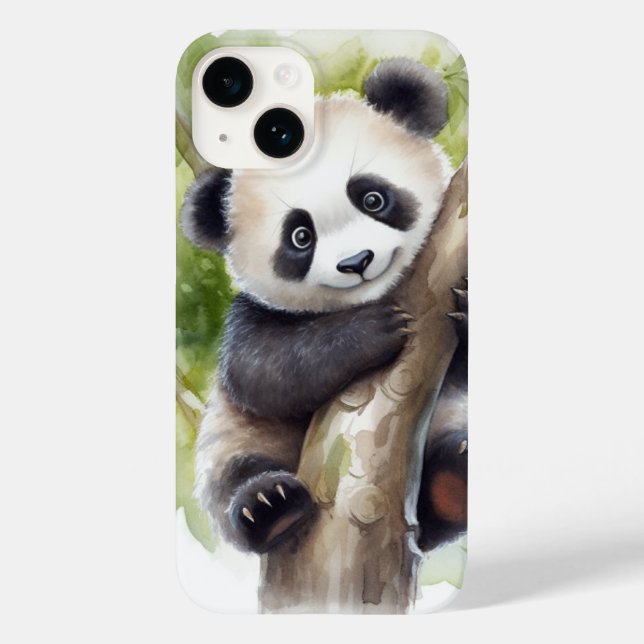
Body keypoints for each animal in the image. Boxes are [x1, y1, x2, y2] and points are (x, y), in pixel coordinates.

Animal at [181, 58, 468, 555]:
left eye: (372, 197)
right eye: (300, 236)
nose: (357, 262)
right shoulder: (252, 316)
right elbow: (263, 373)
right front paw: (375, 330)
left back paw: (454, 480)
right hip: (237, 438)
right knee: (235, 471)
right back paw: (268, 506)